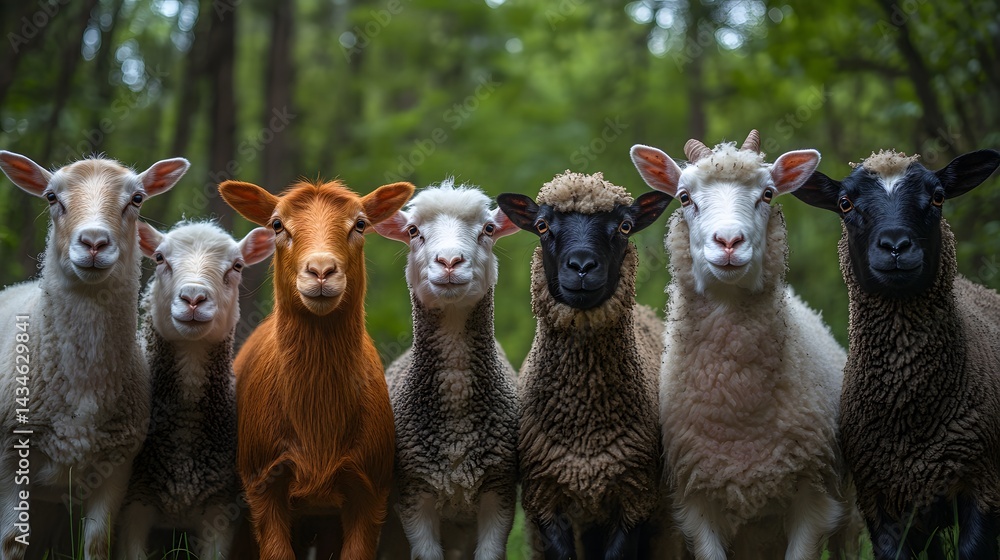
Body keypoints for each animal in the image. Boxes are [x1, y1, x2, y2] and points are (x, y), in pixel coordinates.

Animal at [0, 151, 188, 560]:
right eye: (51, 197)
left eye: (137, 199)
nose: (93, 242)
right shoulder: (7, 456)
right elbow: (11, 541)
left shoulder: (117, 466)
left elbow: (97, 543)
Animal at [218, 177, 414, 560]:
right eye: (277, 225)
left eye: (360, 224)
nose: (321, 271)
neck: (318, 432)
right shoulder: (262, 483)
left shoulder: (369, 488)